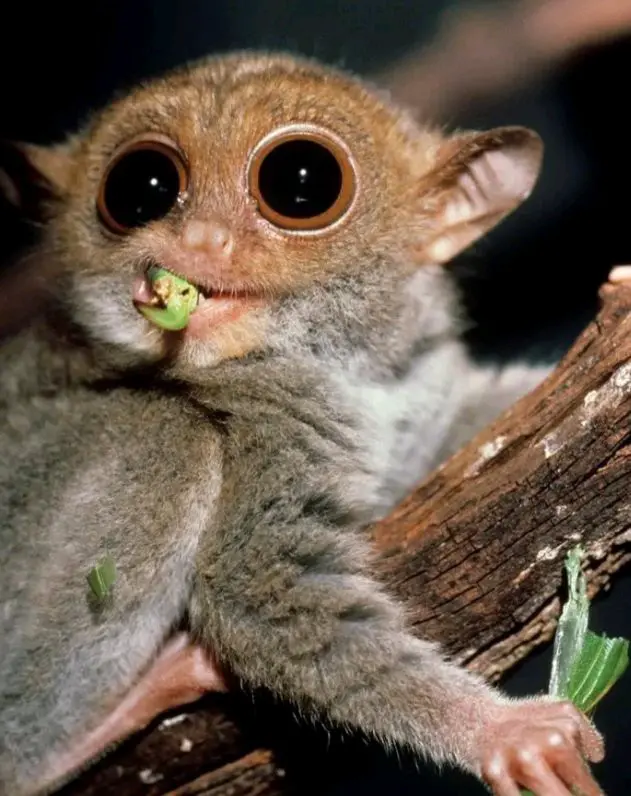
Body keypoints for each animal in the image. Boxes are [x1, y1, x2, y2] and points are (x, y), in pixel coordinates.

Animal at [0, 51, 605, 796]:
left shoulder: (422, 394)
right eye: (140, 191)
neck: (337, 367)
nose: (196, 239)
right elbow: (258, 595)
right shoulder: (271, 430)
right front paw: (504, 731)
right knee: (173, 436)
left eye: (300, 183)